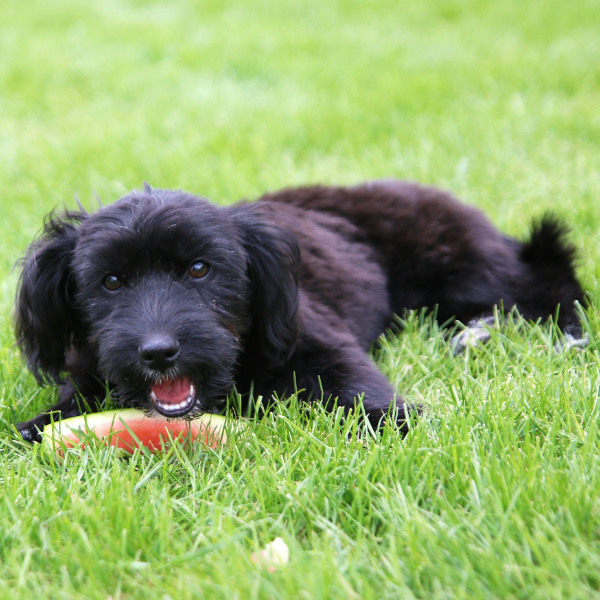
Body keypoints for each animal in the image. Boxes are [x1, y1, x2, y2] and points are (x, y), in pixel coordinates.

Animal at [14, 179, 584, 440]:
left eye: (199, 269)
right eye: (110, 281)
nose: (158, 353)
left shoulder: (325, 349)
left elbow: (361, 393)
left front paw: (398, 422)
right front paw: (34, 431)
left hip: (464, 271)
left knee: (551, 284)